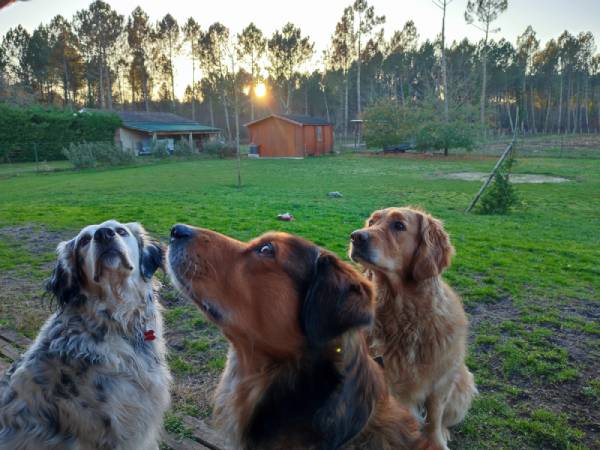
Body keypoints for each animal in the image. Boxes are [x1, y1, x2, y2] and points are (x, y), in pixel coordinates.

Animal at [350, 208, 476, 450]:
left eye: (399, 225)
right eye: (371, 222)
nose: (356, 237)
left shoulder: (441, 381)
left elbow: (435, 417)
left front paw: (436, 441)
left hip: (462, 383)